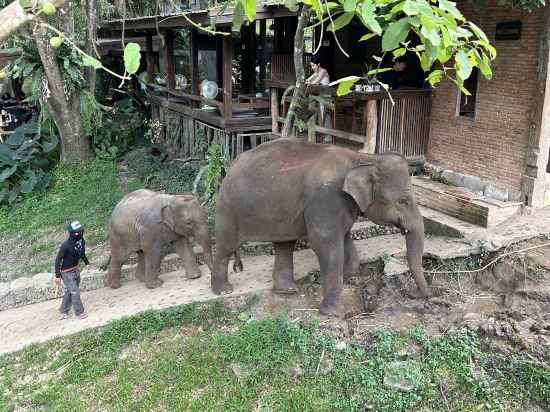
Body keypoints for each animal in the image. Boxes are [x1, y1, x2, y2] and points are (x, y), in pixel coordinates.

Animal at [209, 138, 430, 316]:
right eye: (403, 201)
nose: (410, 293)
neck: (363, 159)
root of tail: (232, 162)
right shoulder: (326, 200)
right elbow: (327, 245)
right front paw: (334, 313)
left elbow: (347, 243)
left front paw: (339, 278)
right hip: (228, 209)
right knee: (227, 246)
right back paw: (223, 291)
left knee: (284, 244)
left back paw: (287, 290)